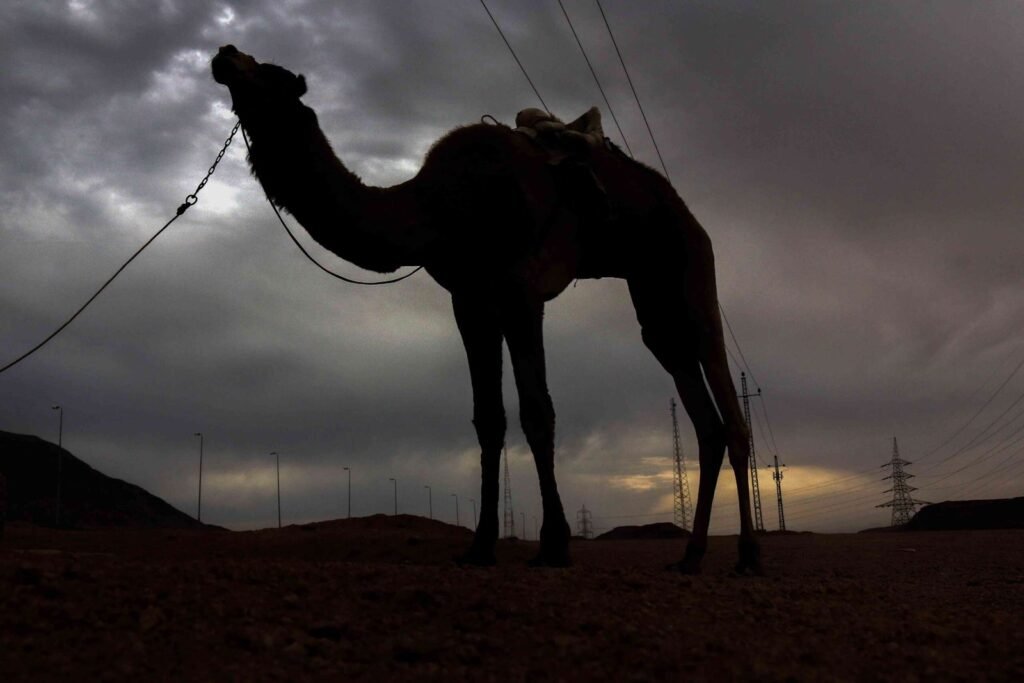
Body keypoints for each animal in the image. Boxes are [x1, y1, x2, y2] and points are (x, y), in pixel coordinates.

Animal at [211, 45, 760, 574]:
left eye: (274, 73)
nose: (226, 54)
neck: (438, 206)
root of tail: (684, 209)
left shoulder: (522, 292)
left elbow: (537, 412)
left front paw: (555, 545)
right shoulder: (469, 299)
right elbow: (488, 419)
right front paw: (480, 546)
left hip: (693, 264)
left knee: (727, 399)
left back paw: (748, 556)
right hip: (651, 293)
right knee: (696, 404)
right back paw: (690, 557)